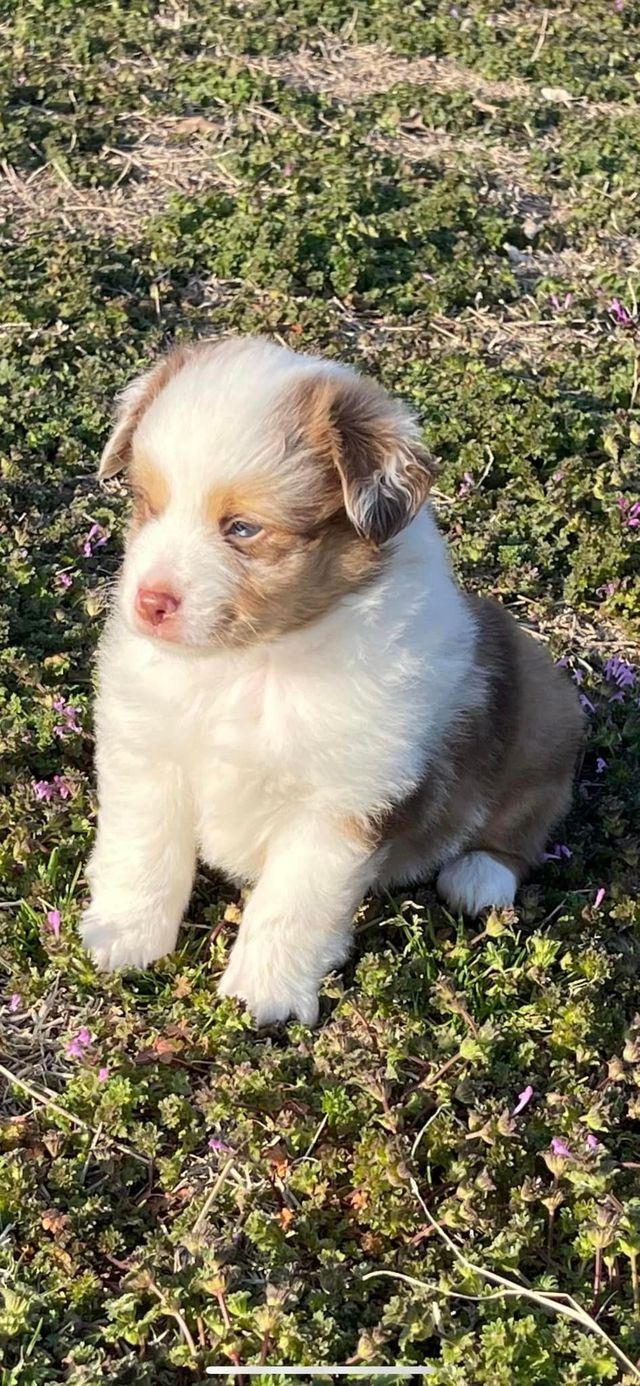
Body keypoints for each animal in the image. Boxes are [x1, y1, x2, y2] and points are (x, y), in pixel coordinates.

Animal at [81, 335, 584, 1025]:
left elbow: (291, 907)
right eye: (147, 505)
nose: (149, 602)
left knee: (524, 824)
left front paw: (261, 1000)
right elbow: (143, 853)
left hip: (544, 716)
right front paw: (122, 940)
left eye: (242, 528)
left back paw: (479, 876)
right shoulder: (149, 750)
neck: (252, 662)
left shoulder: (340, 806)